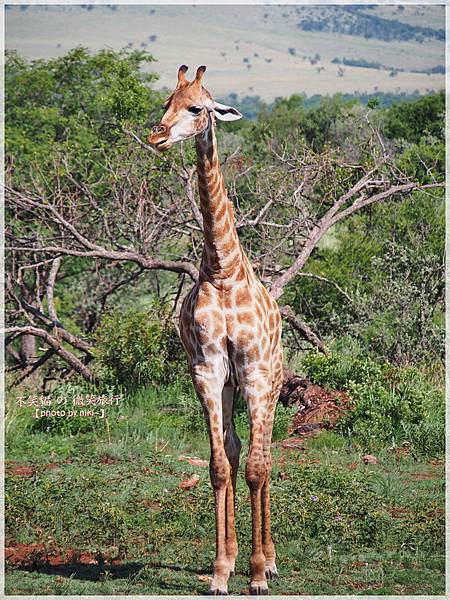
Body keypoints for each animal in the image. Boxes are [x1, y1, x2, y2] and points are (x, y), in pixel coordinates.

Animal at [148, 67, 284, 596]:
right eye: (166, 102)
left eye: (196, 108)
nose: (157, 136)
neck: (223, 271)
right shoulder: (207, 370)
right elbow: (219, 465)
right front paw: (222, 571)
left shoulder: (255, 373)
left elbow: (257, 469)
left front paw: (258, 574)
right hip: (229, 386)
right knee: (235, 449)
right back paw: (235, 559)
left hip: (270, 383)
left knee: (265, 458)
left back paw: (270, 561)